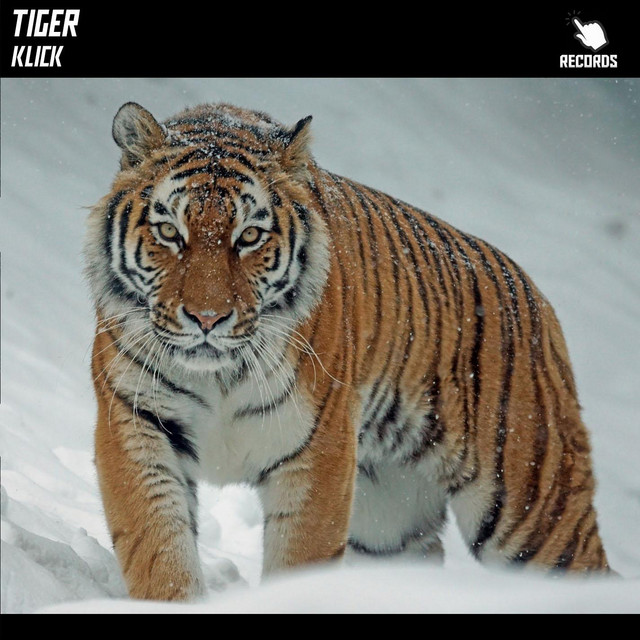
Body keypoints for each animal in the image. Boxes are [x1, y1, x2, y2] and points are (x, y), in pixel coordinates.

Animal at [85, 101, 611, 601]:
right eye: (169, 232)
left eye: (249, 236)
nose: (208, 319)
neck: (218, 375)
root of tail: (536, 297)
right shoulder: (135, 423)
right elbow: (159, 550)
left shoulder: (319, 451)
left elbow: (299, 561)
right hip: (389, 522)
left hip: (533, 509)